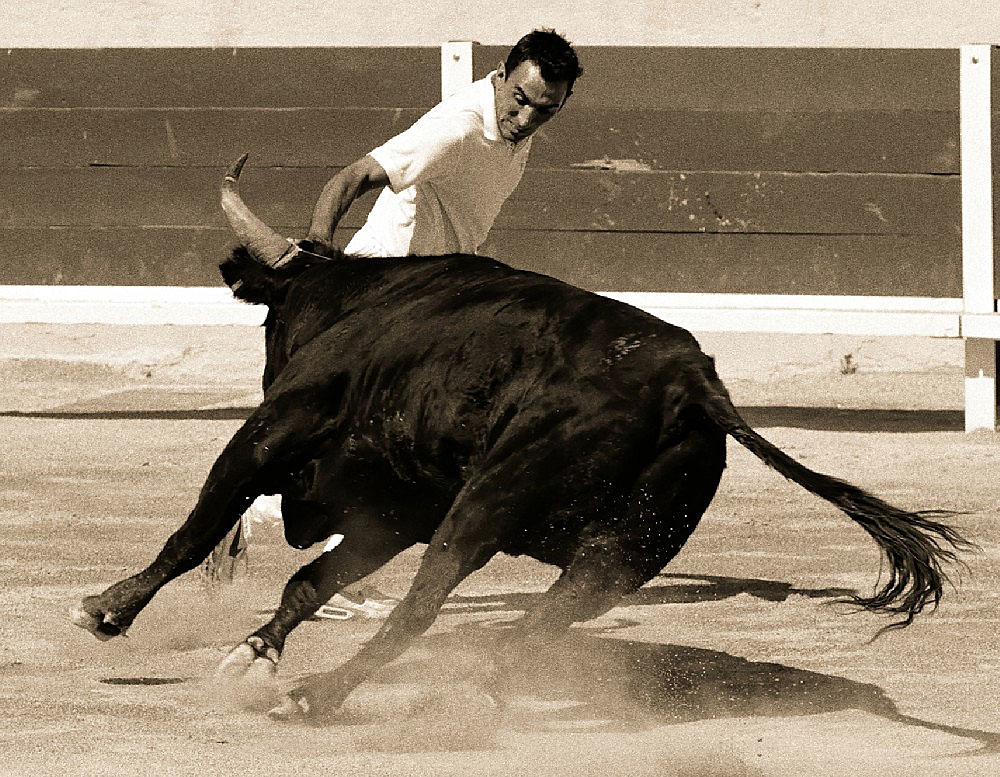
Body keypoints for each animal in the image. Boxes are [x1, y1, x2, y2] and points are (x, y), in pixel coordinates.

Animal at [72, 153, 976, 720]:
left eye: (270, 324)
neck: (353, 299)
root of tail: (690, 384)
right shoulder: (394, 510)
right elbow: (310, 579)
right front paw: (252, 652)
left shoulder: (278, 431)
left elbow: (196, 532)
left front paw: (106, 609)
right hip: (623, 553)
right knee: (533, 627)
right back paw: (463, 694)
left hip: (488, 501)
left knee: (422, 608)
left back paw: (319, 697)